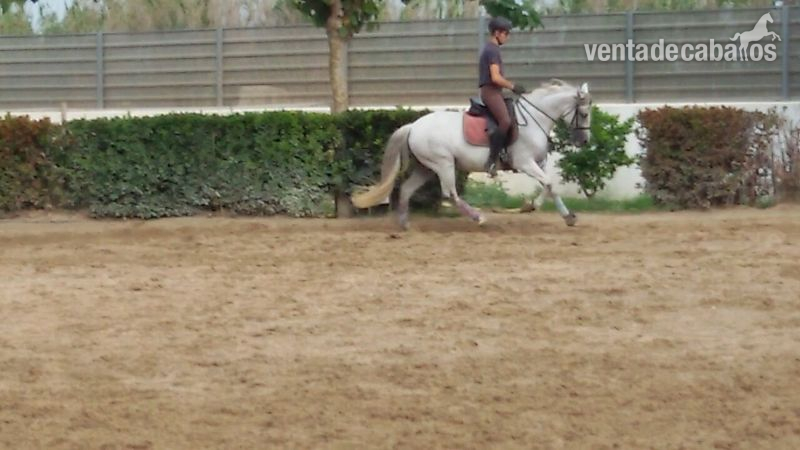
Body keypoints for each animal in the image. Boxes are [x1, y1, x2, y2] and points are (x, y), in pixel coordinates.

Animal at [350, 79, 593, 230]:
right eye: (583, 113)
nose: (584, 141)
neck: (534, 119)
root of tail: (413, 126)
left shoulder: (538, 162)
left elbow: (549, 185)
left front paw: (563, 215)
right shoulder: (525, 163)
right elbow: (549, 183)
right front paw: (534, 207)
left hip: (426, 168)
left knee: (407, 190)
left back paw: (404, 223)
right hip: (443, 164)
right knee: (450, 193)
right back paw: (479, 217)